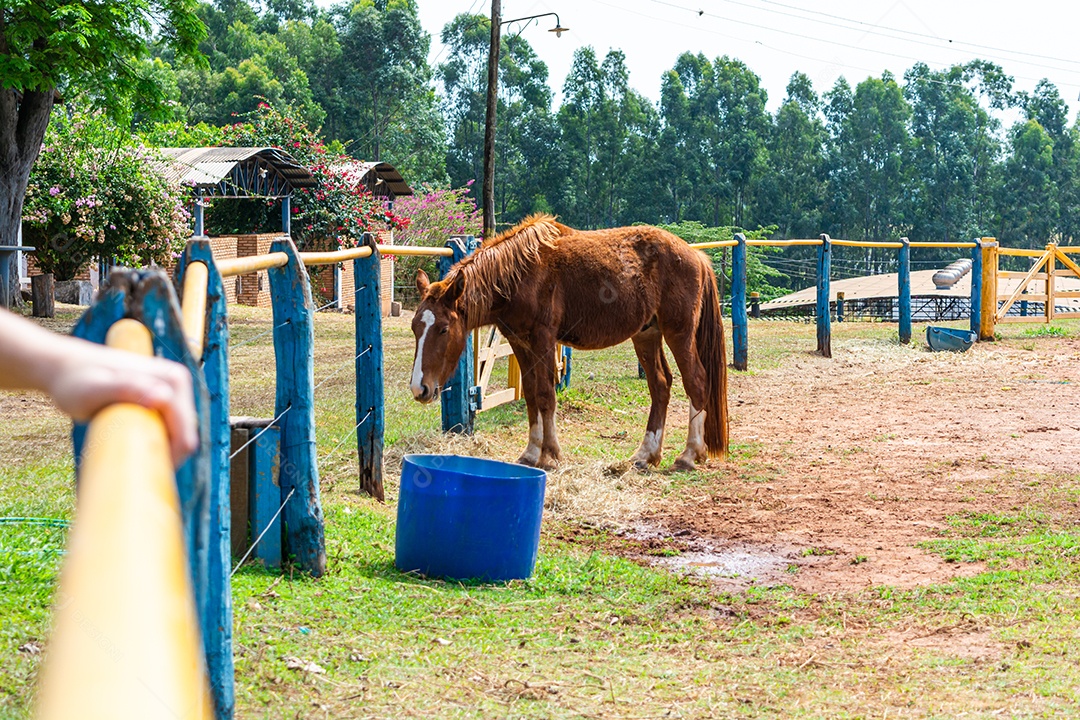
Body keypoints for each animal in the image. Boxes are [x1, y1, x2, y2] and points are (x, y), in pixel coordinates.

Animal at [409, 213, 729, 471]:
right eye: (415, 328)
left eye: (443, 329)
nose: (419, 388)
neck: (520, 273)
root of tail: (697, 258)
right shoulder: (519, 342)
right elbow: (531, 395)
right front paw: (531, 453)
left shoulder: (542, 339)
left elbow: (546, 395)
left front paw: (550, 455)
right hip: (647, 334)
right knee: (660, 385)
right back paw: (645, 455)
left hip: (679, 333)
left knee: (696, 382)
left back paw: (689, 455)